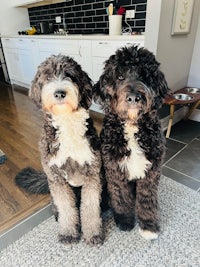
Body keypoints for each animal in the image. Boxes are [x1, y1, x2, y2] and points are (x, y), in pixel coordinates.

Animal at [15, 55, 104, 247]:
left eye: (69, 75)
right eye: (47, 77)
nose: (60, 93)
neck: (67, 121)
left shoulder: (92, 173)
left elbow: (90, 207)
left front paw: (93, 233)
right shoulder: (56, 178)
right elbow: (66, 208)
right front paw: (69, 233)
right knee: (59, 207)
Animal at [94, 45, 169, 242]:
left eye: (144, 76)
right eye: (120, 76)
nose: (134, 97)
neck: (132, 125)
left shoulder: (151, 172)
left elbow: (147, 201)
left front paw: (149, 226)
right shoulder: (115, 170)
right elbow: (121, 199)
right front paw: (125, 221)